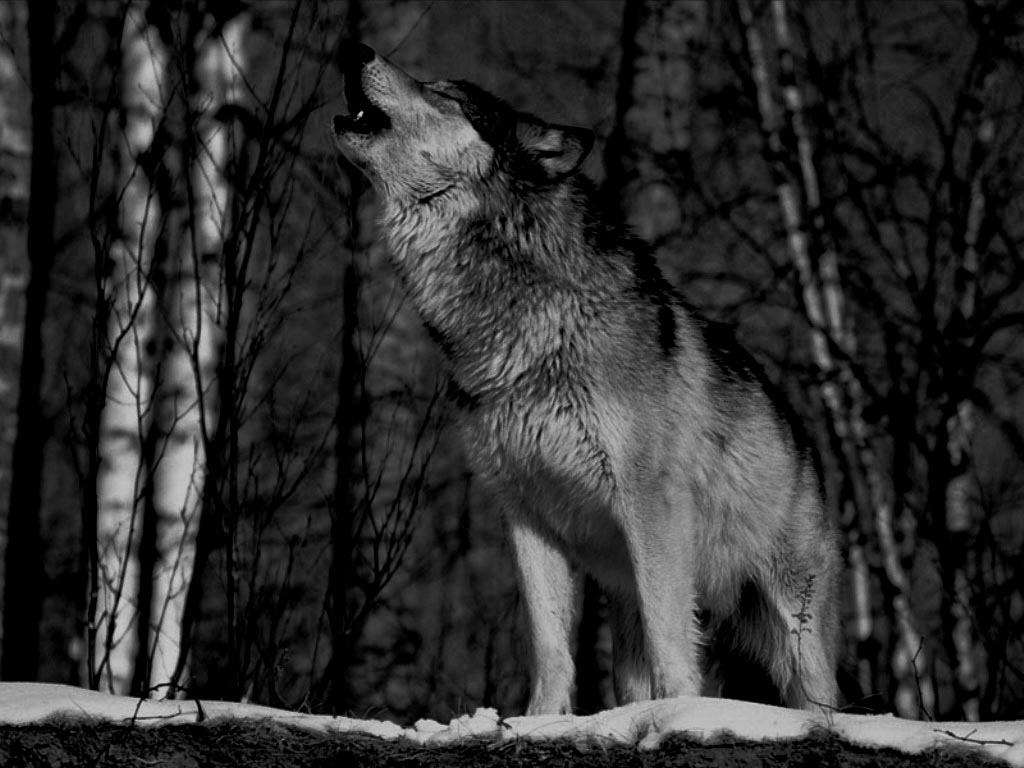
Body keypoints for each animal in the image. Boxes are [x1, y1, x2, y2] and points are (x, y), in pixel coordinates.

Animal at [331, 41, 843, 716]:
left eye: (445, 94)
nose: (354, 48)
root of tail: (804, 436)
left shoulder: (651, 503)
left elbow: (672, 637)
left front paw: (676, 713)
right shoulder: (525, 514)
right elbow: (549, 644)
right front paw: (538, 722)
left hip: (791, 618)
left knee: (819, 697)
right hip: (625, 594)